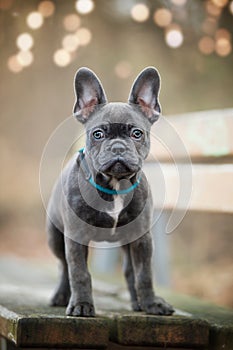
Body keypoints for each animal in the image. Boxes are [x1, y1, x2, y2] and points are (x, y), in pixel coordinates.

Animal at [46, 66, 174, 318]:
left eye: (137, 134)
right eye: (98, 134)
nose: (118, 147)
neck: (115, 185)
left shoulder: (142, 238)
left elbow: (144, 274)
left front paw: (152, 303)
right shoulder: (75, 236)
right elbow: (79, 272)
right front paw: (81, 304)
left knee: (129, 271)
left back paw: (137, 303)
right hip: (54, 236)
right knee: (63, 267)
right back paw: (61, 296)